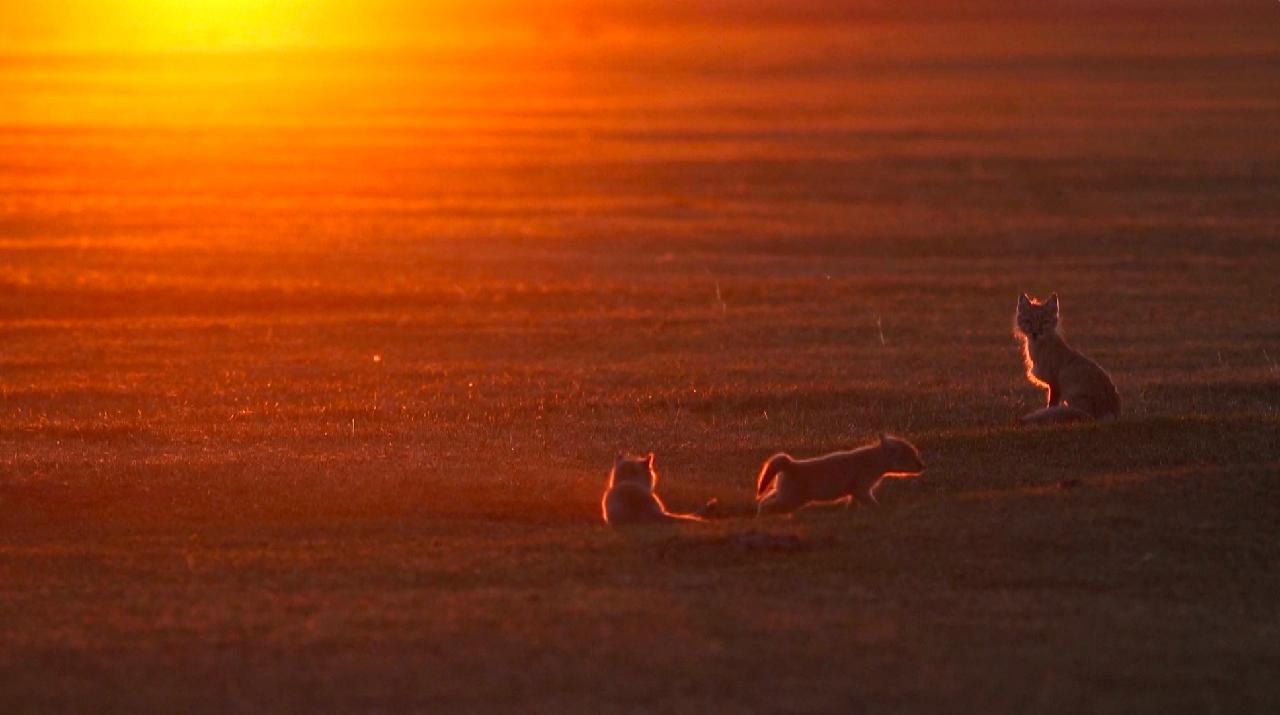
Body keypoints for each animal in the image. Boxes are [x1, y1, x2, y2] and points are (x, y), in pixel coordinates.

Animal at [752, 434, 926, 516]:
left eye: (916, 455)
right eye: (911, 457)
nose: (923, 467)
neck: (872, 460)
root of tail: (791, 463)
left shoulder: (855, 493)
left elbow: (852, 508)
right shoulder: (861, 490)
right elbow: (874, 505)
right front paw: (883, 512)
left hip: (782, 495)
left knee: (763, 502)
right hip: (790, 501)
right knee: (767, 505)